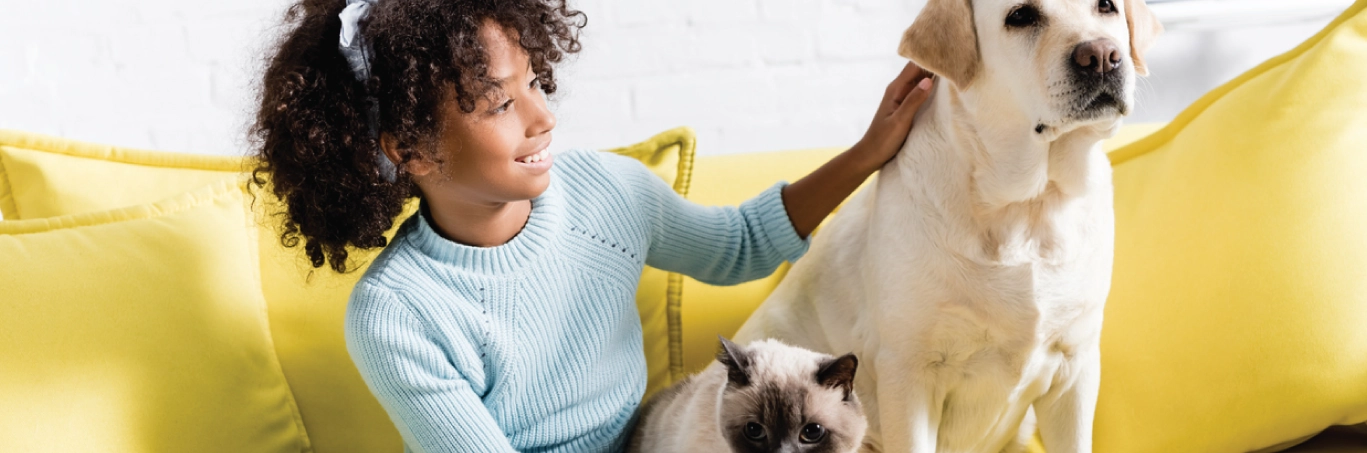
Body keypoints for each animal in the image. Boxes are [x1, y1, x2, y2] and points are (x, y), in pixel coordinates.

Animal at [732, 0, 1159, 451]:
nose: (1102, 56)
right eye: (1021, 16)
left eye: (1106, 7)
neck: (1028, 206)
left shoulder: (1075, 368)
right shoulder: (908, 374)